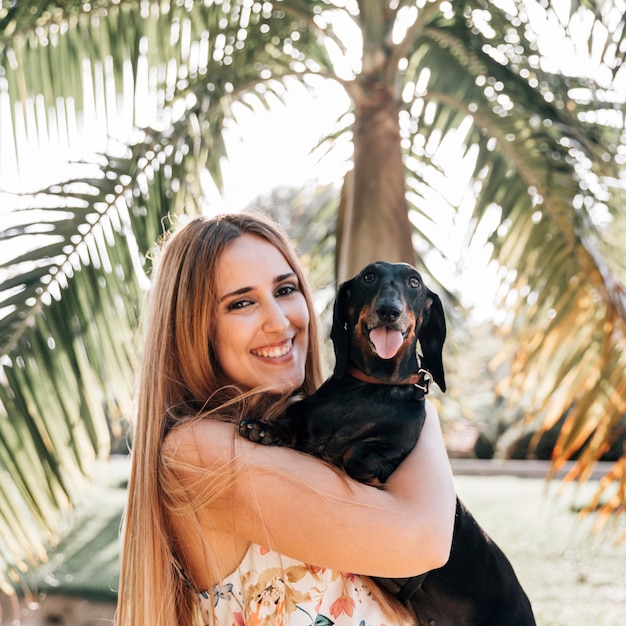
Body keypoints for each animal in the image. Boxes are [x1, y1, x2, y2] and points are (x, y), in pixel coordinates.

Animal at [236, 260, 532, 620]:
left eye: (414, 282)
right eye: (369, 276)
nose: (389, 311)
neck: (372, 388)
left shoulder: (393, 447)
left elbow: (358, 454)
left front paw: (342, 456)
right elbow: (293, 422)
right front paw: (265, 427)